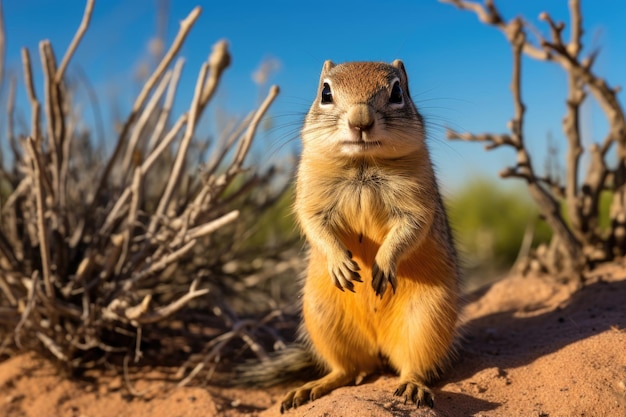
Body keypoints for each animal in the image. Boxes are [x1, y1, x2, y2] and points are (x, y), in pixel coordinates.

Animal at [239, 60, 458, 412]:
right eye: (325, 92)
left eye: (397, 91)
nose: (361, 121)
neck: (362, 163)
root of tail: (380, 348)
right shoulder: (311, 197)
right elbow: (315, 226)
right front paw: (341, 264)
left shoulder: (417, 203)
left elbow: (410, 230)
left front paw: (383, 264)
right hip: (323, 320)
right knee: (349, 369)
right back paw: (310, 388)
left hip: (427, 322)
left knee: (414, 366)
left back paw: (412, 387)